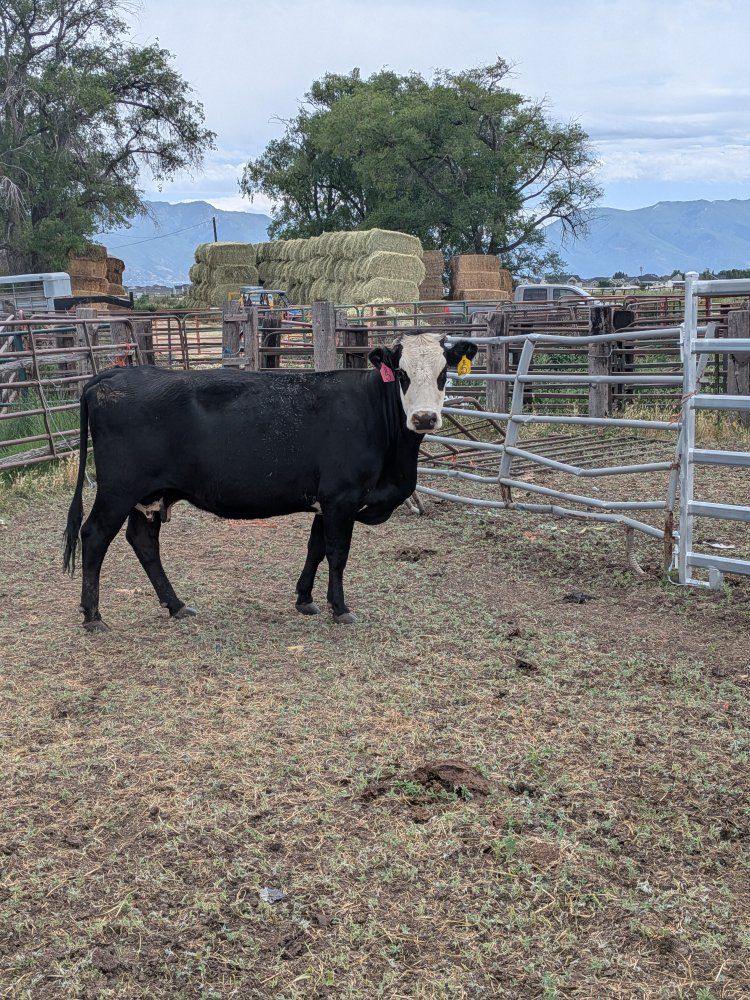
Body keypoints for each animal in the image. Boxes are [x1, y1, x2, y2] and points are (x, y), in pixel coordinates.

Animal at [62, 333, 478, 632]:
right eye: (403, 375)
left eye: (444, 374)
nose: (424, 418)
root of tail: (114, 375)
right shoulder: (341, 498)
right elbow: (338, 553)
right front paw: (340, 608)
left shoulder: (324, 501)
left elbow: (315, 548)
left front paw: (305, 599)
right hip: (118, 490)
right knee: (94, 535)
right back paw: (93, 616)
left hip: (148, 495)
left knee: (143, 542)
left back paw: (176, 605)